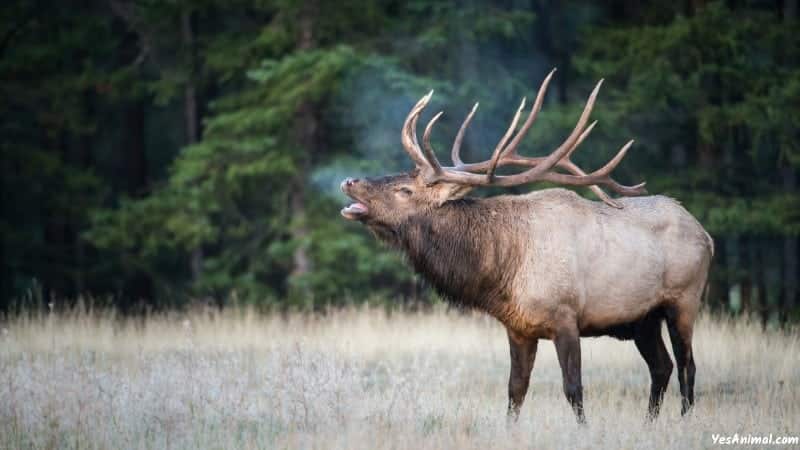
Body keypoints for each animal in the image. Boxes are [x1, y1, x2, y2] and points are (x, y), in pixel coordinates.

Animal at [338, 69, 712, 422]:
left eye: (404, 190)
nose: (349, 180)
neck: (503, 270)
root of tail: (705, 235)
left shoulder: (566, 316)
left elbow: (573, 389)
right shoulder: (518, 328)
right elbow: (515, 390)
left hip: (684, 300)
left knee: (687, 366)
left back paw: (683, 420)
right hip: (643, 319)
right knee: (661, 367)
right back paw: (649, 423)